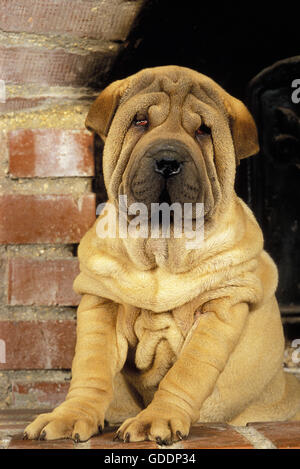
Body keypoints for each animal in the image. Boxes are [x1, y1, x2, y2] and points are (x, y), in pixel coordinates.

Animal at [24, 65, 300, 442]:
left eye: (203, 130)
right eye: (140, 121)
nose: (168, 161)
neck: (161, 249)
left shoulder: (220, 306)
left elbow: (186, 372)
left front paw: (159, 418)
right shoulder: (101, 300)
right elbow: (90, 368)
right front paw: (72, 414)